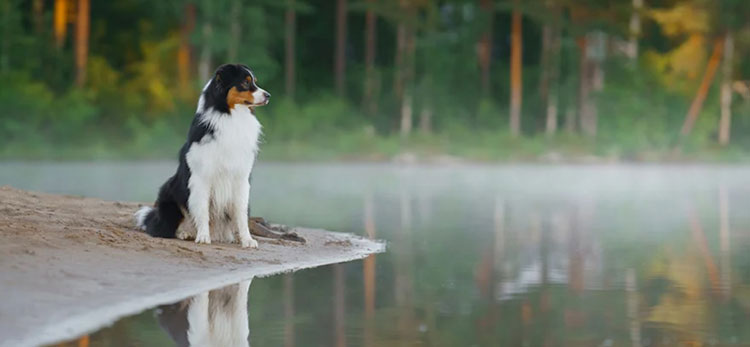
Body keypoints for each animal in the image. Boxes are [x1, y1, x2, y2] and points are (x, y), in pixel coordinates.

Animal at [137, 64, 272, 249]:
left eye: (254, 82)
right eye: (245, 83)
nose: (268, 96)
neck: (231, 117)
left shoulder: (241, 178)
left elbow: (241, 214)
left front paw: (247, 239)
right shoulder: (201, 177)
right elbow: (202, 210)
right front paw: (203, 236)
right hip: (169, 193)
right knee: (166, 227)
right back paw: (185, 233)